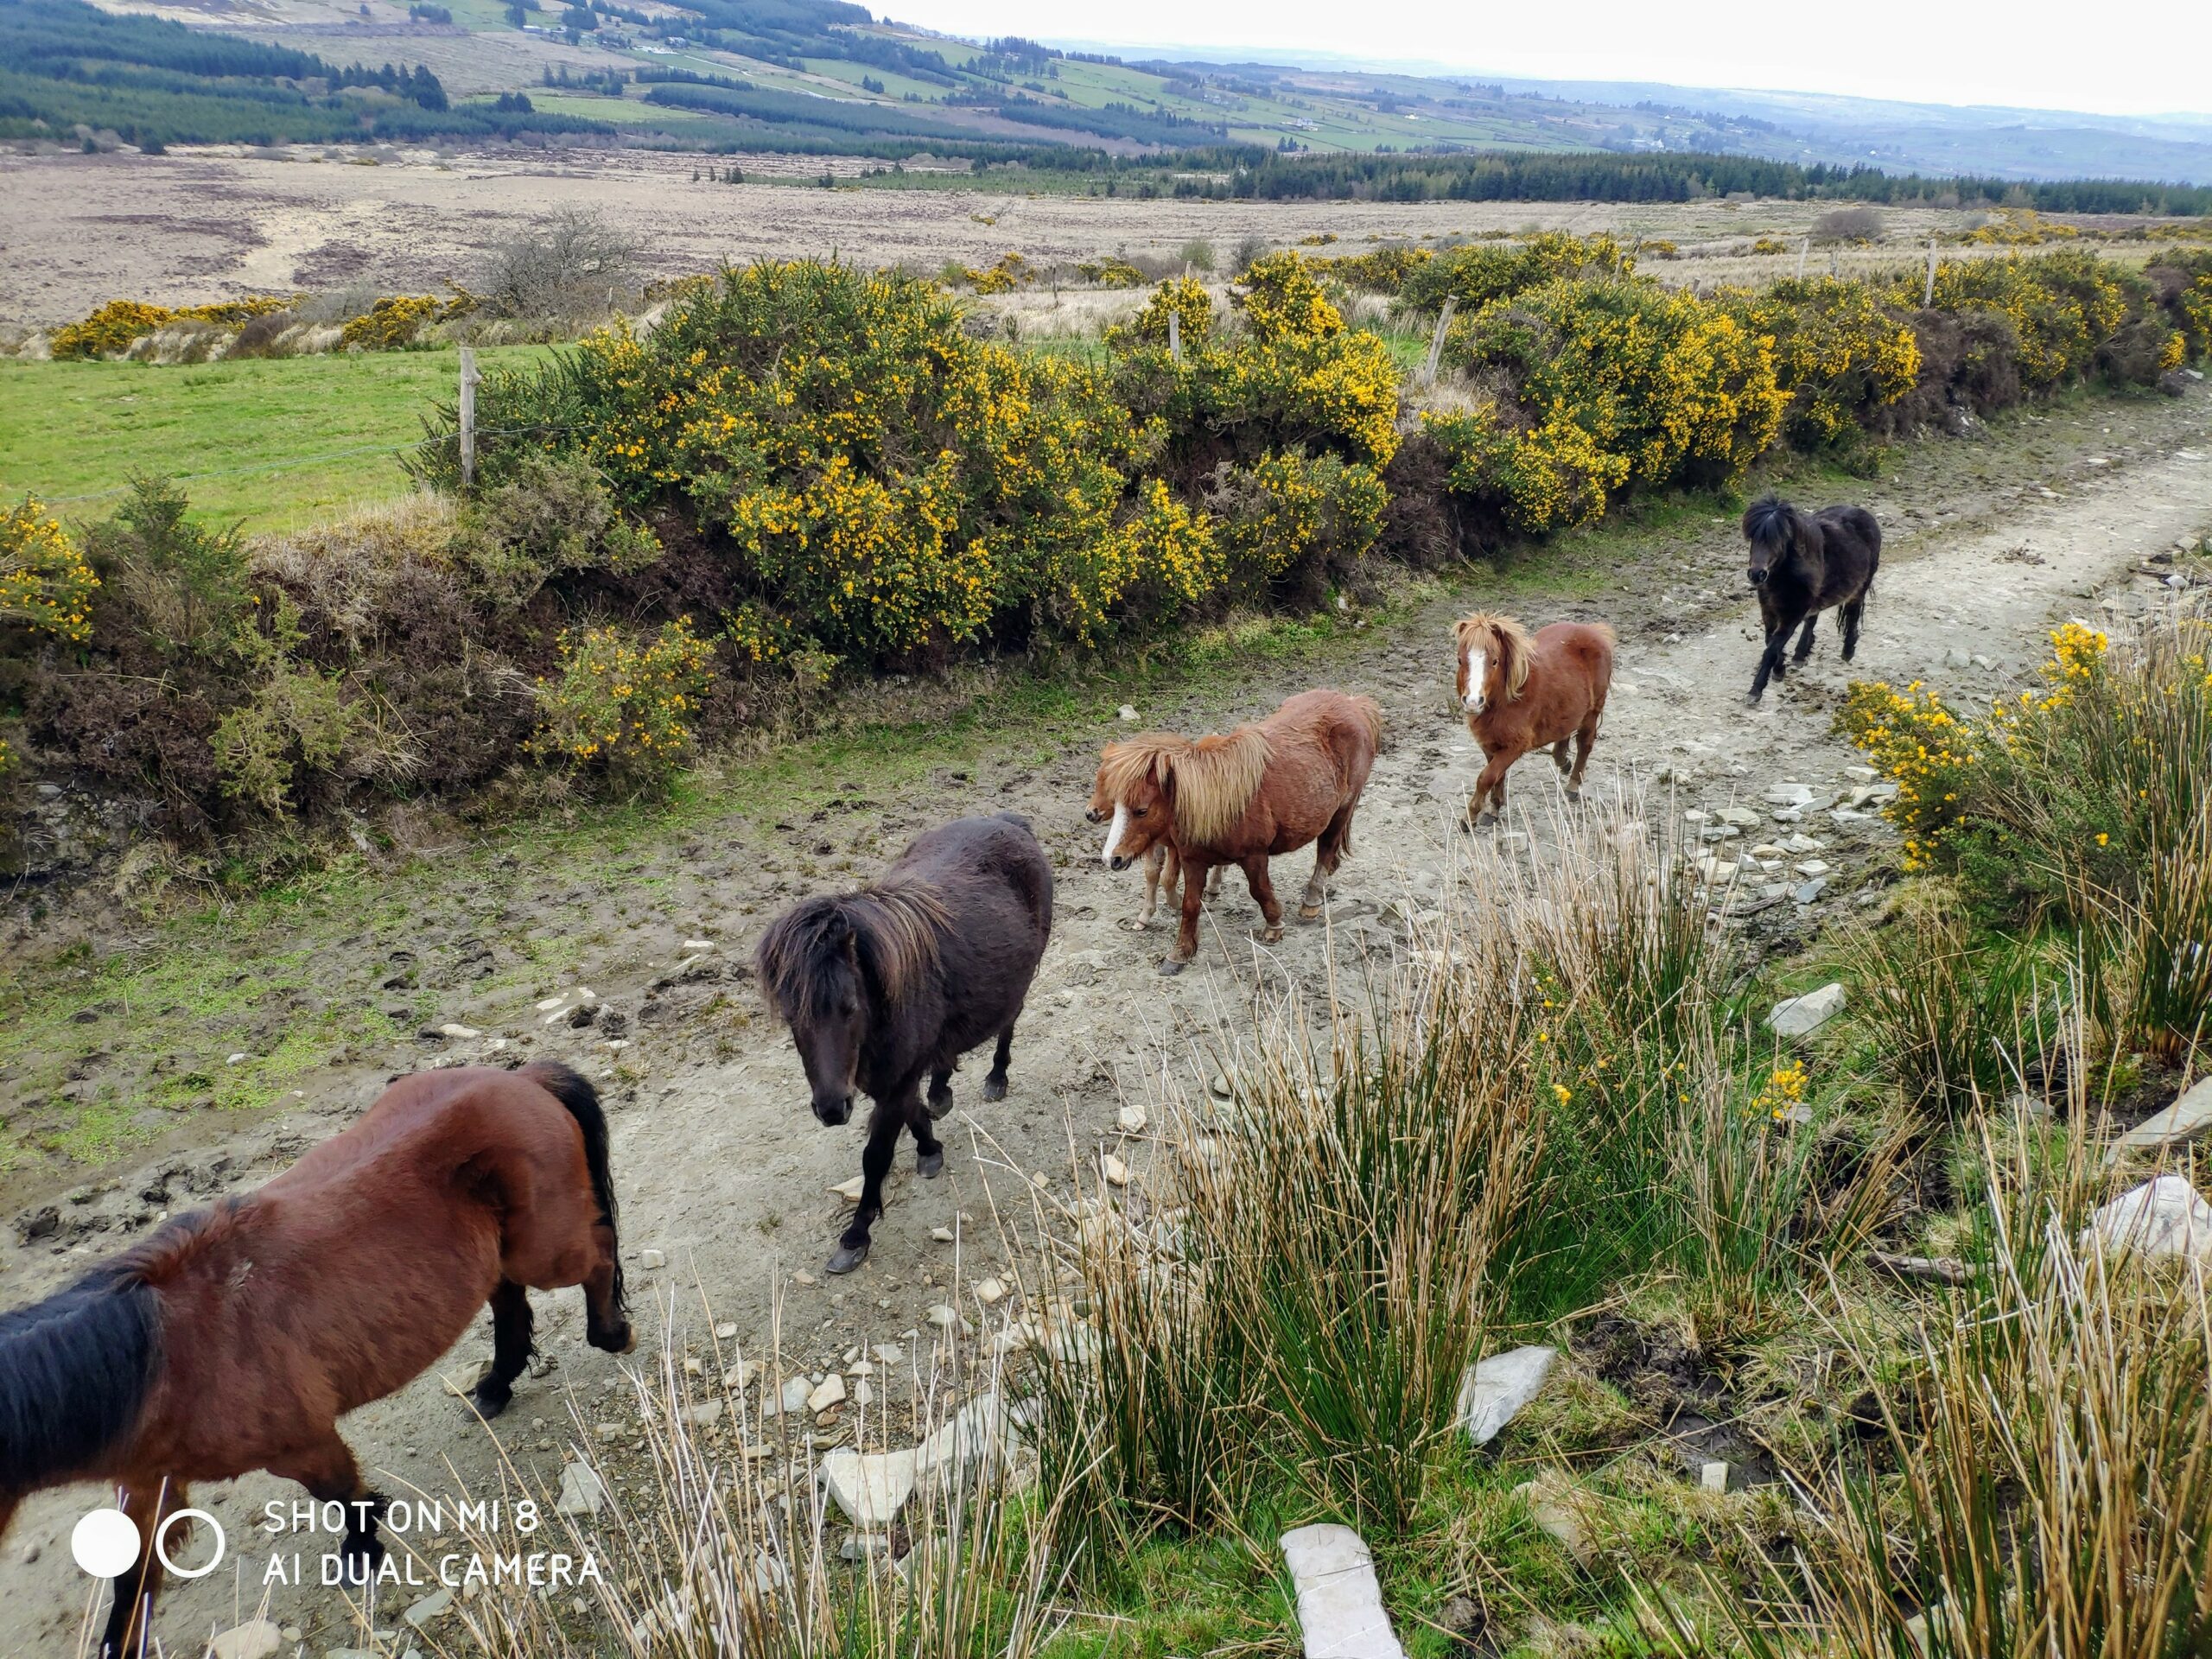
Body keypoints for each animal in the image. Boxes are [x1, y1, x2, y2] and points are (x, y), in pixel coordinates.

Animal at [0, 1065, 632, 1659]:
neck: (171, 1355)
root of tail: (523, 1079)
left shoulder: (302, 1444)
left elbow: (341, 1495)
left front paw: (363, 1549)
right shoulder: (149, 1485)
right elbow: (131, 1582)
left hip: (542, 1249)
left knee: (597, 1257)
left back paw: (611, 1333)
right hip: (500, 1253)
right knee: (509, 1303)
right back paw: (496, 1386)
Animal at [756, 814, 1048, 1282]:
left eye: (849, 1006)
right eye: (790, 1017)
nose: (831, 1109)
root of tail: (1008, 821)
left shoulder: (894, 1082)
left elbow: (876, 1156)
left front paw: (855, 1236)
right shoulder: (890, 1078)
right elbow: (913, 1111)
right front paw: (930, 1145)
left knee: (1009, 1022)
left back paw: (996, 1077)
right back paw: (942, 1090)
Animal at [1088, 685, 1380, 973]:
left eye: (1141, 810)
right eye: (1116, 801)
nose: (1111, 859)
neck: (1214, 800)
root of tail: (1355, 704)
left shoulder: (1254, 856)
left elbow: (1259, 890)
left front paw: (1274, 925)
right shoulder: (1192, 859)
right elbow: (1189, 904)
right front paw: (1180, 952)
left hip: (1342, 810)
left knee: (1326, 851)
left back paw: (1311, 901)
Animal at [1459, 614, 1618, 827]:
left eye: (1494, 662)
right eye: (1460, 660)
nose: (1473, 702)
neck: (1508, 699)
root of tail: (1594, 630)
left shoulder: (1513, 747)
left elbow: (1487, 777)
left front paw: (1469, 818)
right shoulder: (1489, 745)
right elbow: (1497, 777)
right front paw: (1493, 809)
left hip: (1592, 712)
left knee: (1584, 744)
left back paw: (1572, 786)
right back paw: (1563, 761)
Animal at [1743, 493, 1885, 703]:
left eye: (1779, 538)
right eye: (1753, 536)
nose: (1756, 574)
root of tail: (1864, 514)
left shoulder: (1791, 616)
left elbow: (1771, 649)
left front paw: (1755, 690)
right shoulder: (1768, 611)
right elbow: (1770, 642)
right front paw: (1780, 670)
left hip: (1860, 587)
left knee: (1852, 613)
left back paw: (1848, 651)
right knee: (1813, 619)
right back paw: (1800, 655)